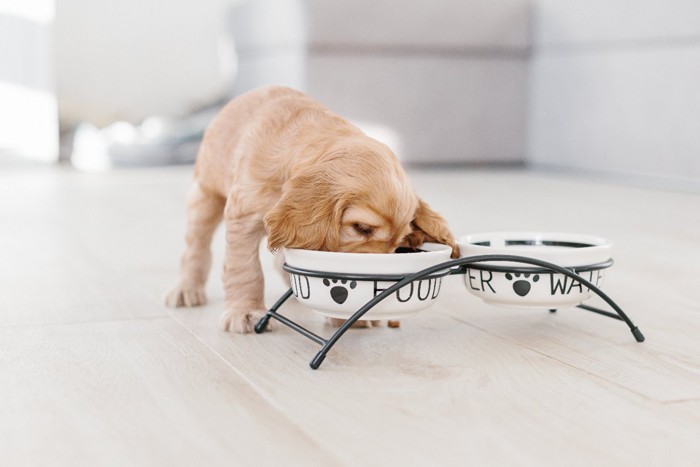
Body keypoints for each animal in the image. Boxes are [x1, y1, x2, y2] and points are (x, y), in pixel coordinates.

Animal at [165, 85, 460, 332]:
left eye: (399, 244)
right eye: (361, 228)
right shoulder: (244, 214)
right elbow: (245, 269)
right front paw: (245, 312)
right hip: (205, 194)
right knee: (196, 247)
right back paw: (186, 289)